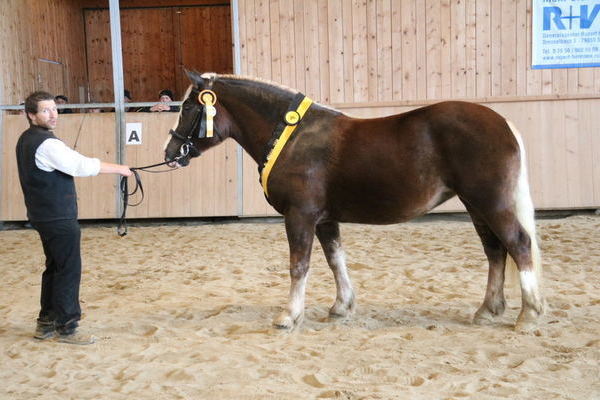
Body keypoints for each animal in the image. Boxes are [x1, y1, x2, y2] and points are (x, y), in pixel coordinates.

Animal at [163, 71, 544, 332]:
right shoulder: (325, 219)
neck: (293, 137)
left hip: (491, 203)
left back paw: (529, 314)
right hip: (476, 205)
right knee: (495, 251)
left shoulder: (300, 216)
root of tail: (503, 123)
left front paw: (289, 315)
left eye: (188, 107)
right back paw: (487, 310)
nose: (170, 152)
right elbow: (336, 260)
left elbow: (299, 265)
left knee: (518, 244)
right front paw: (341, 307)